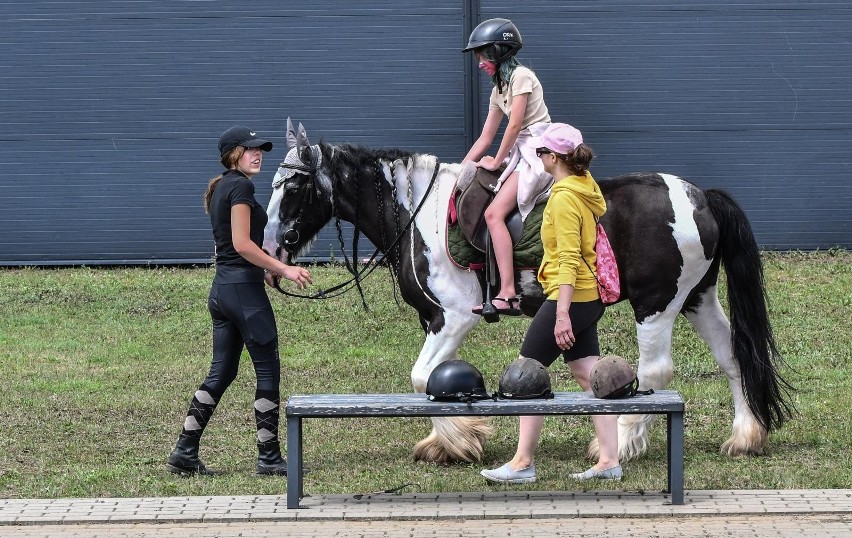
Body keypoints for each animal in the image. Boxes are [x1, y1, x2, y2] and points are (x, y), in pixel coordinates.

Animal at [262, 120, 788, 460]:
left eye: (294, 188)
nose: (271, 251)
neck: (417, 213)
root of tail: (700, 197)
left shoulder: (454, 317)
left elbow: (421, 378)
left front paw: (461, 440)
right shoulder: (432, 319)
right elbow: (429, 382)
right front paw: (448, 441)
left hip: (656, 304)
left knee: (656, 371)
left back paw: (621, 443)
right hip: (697, 298)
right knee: (734, 356)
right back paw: (746, 436)